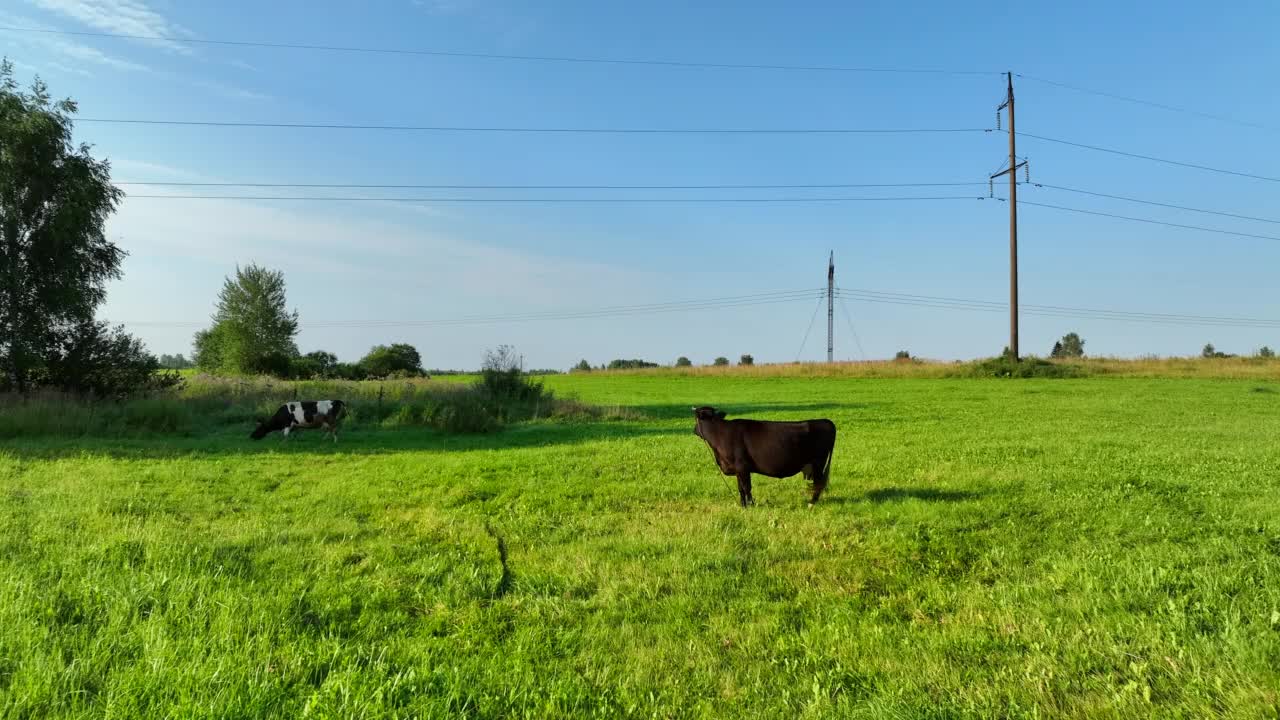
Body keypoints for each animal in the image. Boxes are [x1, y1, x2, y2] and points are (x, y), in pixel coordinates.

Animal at [691, 404, 839, 504]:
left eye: (696, 418)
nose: (694, 430)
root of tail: (826, 421)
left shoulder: (742, 467)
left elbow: (747, 487)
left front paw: (751, 505)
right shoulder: (738, 469)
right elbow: (740, 488)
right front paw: (743, 505)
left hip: (818, 462)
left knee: (818, 483)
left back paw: (811, 503)